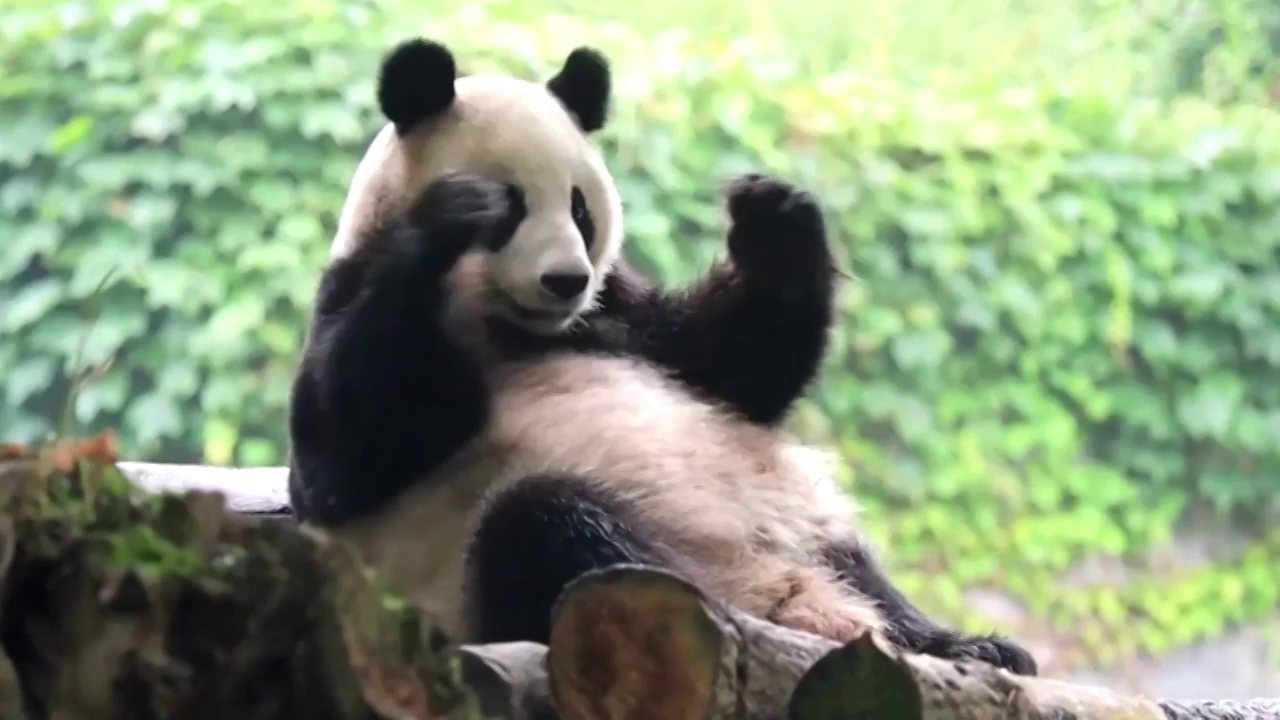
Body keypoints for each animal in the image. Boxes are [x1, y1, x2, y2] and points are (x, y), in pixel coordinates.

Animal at [285, 37, 1038, 676]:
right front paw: (451, 216)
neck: (512, 324)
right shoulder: (359, 299)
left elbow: (730, 367)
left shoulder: (614, 316)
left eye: (580, 208)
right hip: (483, 571)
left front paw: (774, 216)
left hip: (791, 516)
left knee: (853, 560)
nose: (565, 279)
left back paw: (966, 646)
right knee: (547, 529)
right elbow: (346, 453)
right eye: (512, 209)